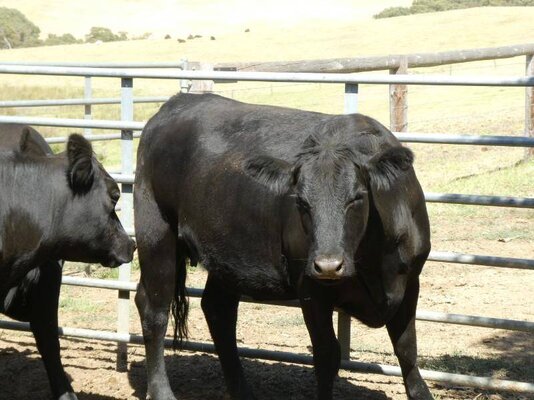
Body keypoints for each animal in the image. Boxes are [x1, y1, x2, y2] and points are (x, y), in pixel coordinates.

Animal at [135, 92, 436, 398]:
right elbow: (327, 354)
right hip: (155, 230)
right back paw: (161, 390)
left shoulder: (410, 280)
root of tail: (178, 101)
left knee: (218, 310)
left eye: (357, 197)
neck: (374, 262)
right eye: (301, 201)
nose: (329, 265)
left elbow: (406, 348)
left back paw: (241, 390)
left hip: (225, 254)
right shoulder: (310, 287)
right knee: (154, 309)